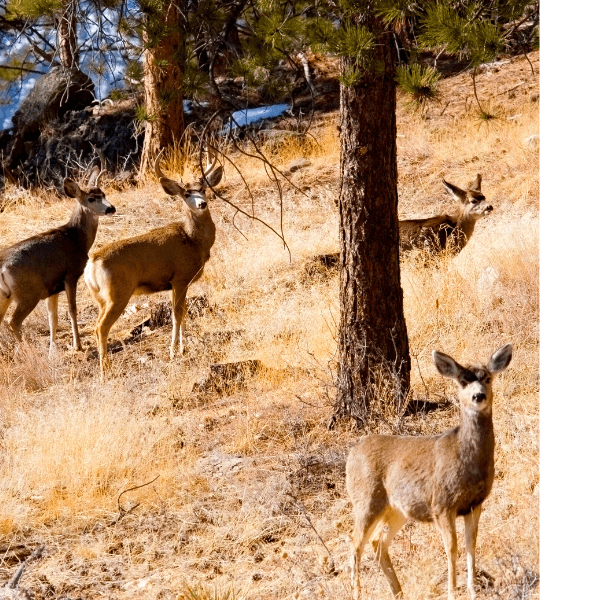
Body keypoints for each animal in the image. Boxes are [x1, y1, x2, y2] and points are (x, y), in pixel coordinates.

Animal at [0, 164, 115, 352]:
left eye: (103, 194)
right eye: (91, 199)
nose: (111, 208)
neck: (76, 238)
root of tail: (2, 266)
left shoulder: (52, 289)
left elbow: (52, 318)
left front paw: (52, 348)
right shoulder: (70, 276)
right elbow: (72, 310)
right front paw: (77, 345)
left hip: (7, 295)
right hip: (28, 292)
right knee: (13, 321)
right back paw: (28, 349)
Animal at [83, 149, 224, 376]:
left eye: (202, 189)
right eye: (186, 194)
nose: (202, 204)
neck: (192, 239)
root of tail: (92, 264)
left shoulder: (179, 284)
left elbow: (184, 312)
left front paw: (183, 347)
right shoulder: (180, 279)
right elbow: (177, 315)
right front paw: (174, 351)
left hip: (100, 298)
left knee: (95, 326)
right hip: (118, 293)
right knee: (100, 327)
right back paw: (106, 370)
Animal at [344, 342, 512, 600]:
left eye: (487, 378)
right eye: (463, 381)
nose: (478, 396)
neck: (468, 461)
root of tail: (352, 453)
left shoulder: (475, 503)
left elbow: (471, 544)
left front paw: (473, 591)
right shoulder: (442, 504)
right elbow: (451, 547)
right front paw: (452, 592)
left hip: (397, 510)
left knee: (377, 542)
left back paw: (399, 592)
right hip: (365, 500)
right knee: (354, 546)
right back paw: (360, 594)